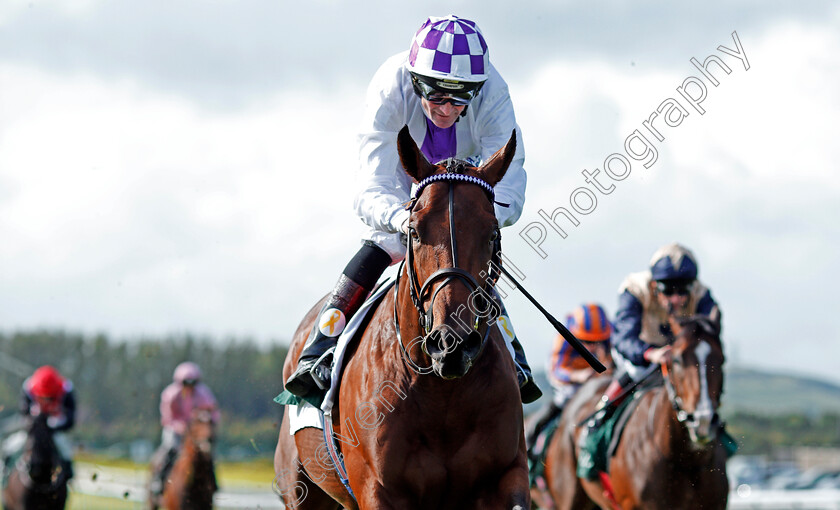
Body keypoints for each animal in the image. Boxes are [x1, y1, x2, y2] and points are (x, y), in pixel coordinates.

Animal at [272, 125, 528, 508]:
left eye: (492, 233)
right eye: (415, 231)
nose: (451, 343)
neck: (442, 394)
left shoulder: (507, 475)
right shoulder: (378, 489)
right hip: (301, 488)